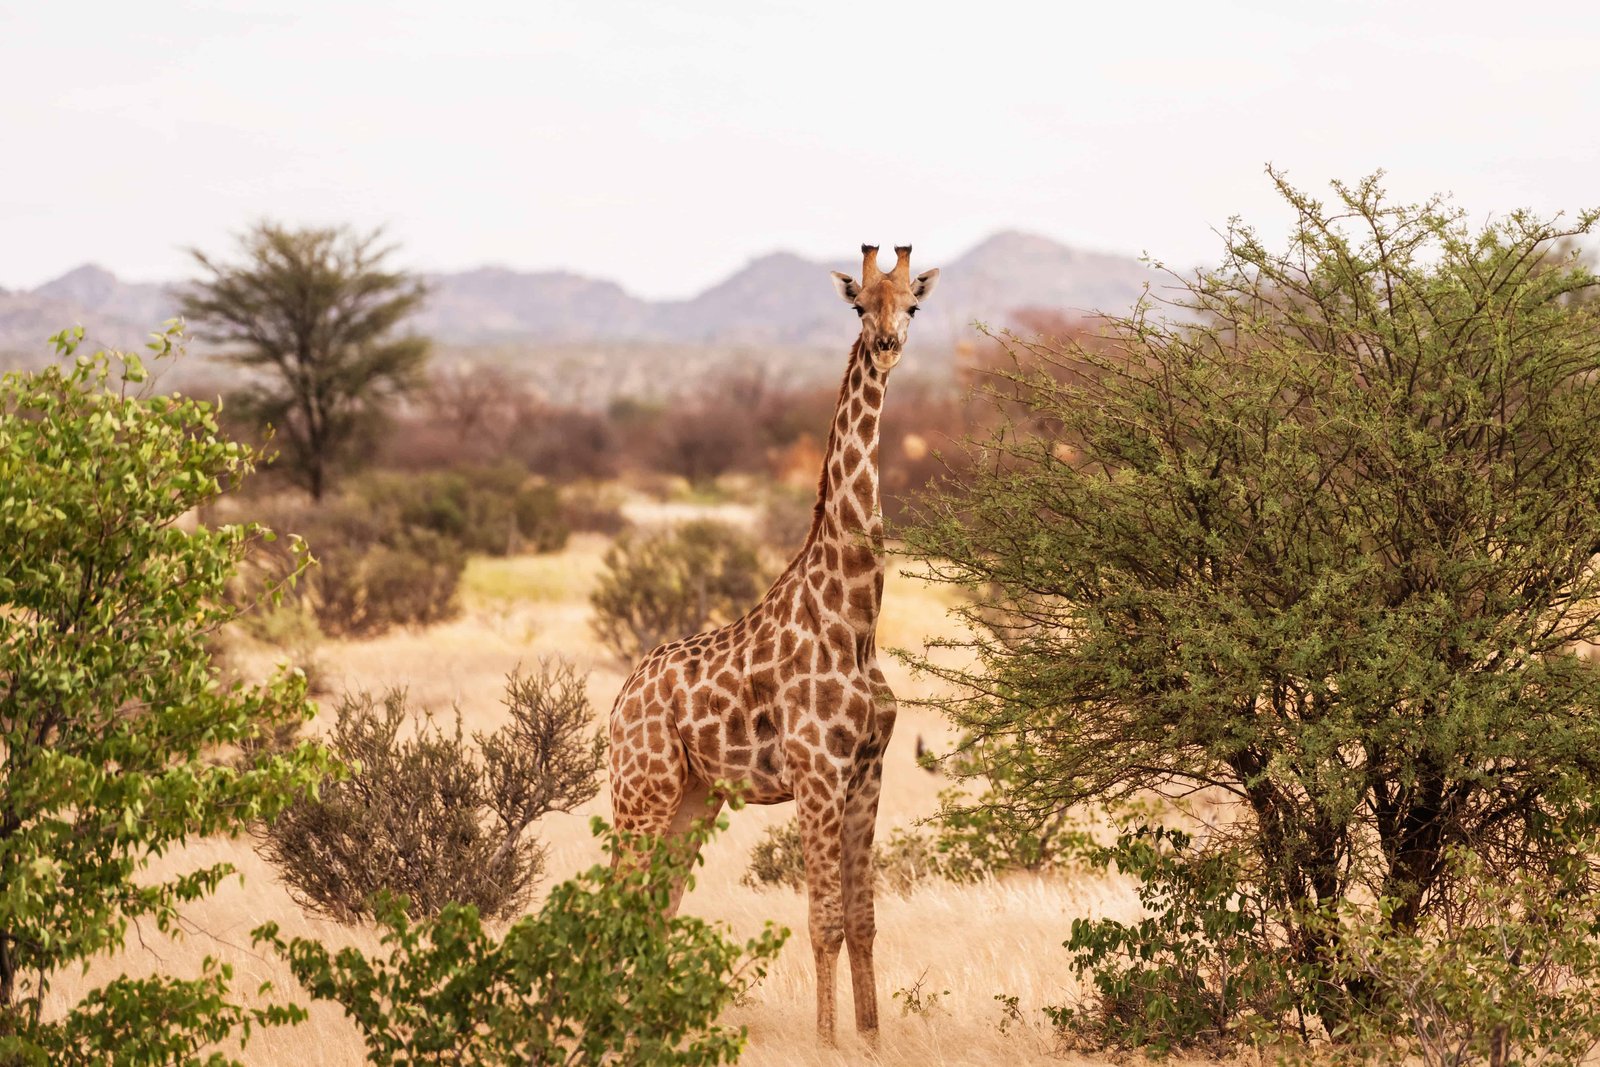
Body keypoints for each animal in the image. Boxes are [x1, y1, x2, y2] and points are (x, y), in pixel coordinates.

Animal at [608, 243, 939, 1045]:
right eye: (860, 305)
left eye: (912, 303)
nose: (888, 346)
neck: (856, 618)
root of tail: (617, 704)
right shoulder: (816, 773)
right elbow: (822, 922)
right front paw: (825, 1040)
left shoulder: (868, 772)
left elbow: (864, 920)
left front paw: (871, 1039)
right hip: (641, 791)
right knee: (617, 903)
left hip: (692, 798)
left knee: (655, 908)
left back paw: (647, 1025)